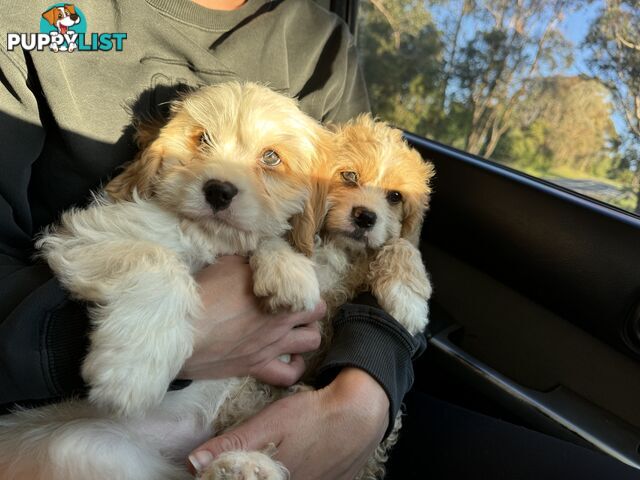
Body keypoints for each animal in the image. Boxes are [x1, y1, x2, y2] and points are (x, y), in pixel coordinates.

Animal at [0, 82, 328, 480]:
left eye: (271, 158)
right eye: (202, 139)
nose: (218, 190)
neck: (204, 237)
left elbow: (264, 236)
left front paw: (288, 270)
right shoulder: (82, 236)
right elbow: (159, 260)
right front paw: (132, 369)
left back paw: (245, 465)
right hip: (82, 448)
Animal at [201, 115, 436, 480]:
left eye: (395, 196)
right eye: (349, 176)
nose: (365, 217)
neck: (338, 246)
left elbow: (401, 243)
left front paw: (407, 300)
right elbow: (267, 234)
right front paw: (283, 269)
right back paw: (242, 467)